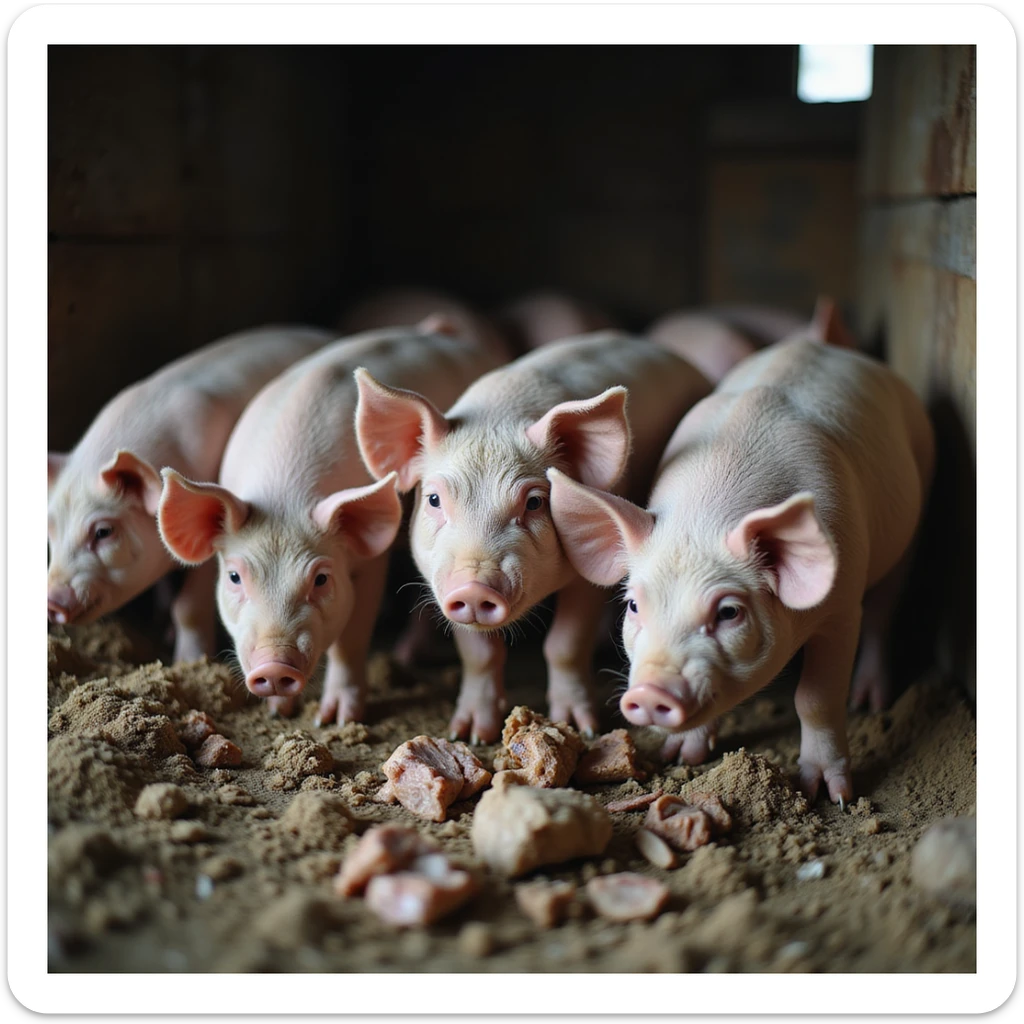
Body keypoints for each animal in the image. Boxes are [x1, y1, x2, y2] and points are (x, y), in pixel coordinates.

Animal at [157, 319, 500, 722]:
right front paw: (277, 712)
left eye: (321, 578)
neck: (284, 495)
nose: (274, 667)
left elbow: (350, 640)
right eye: (234, 577)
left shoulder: (371, 562)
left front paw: (335, 719)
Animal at [354, 330, 712, 743]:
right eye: (433, 499)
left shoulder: (590, 566)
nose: (473, 586)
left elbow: (565, 644)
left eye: (535, 502)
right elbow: (479, 654)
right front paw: (470, 735)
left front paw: (580, 727)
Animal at [547, 320, 934, 807]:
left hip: (917, 505)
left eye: (729, 612)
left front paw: (831, 795)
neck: (706, 516)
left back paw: (870, 701)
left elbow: (817, 698)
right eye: (633, 606)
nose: (651, 692)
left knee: (884, 609)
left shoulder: (842, 607)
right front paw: (680, 756)